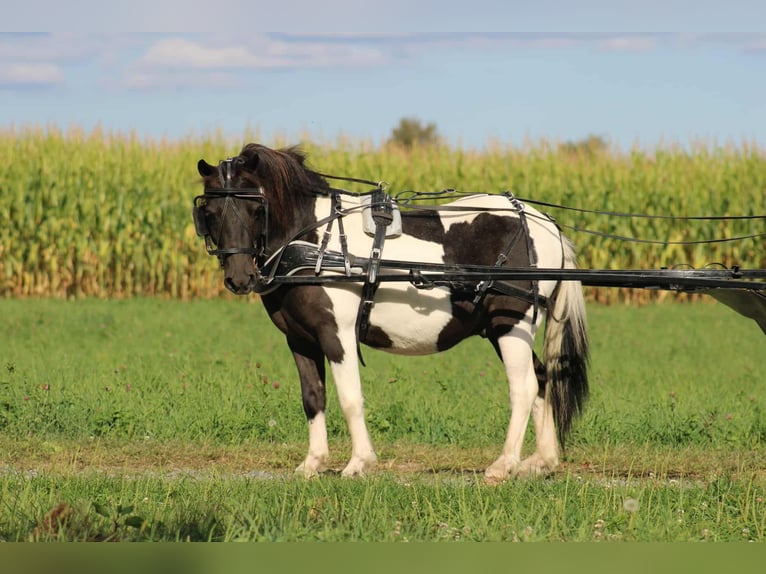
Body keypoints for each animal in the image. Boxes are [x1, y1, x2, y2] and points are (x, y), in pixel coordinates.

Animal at [194, 143, 589, 481]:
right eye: (209, 213)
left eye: (256, 209)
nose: (239, 278)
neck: (314, 244)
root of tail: (544, 223)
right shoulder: (300, 339)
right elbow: (313, 398)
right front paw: (313, 463)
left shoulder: (336, 335)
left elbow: (350, 398)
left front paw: (358, 463)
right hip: (503, 330)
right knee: (542, 378)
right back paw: (541, 461)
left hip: (511, 324)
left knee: (523, 387)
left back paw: (504, 464)